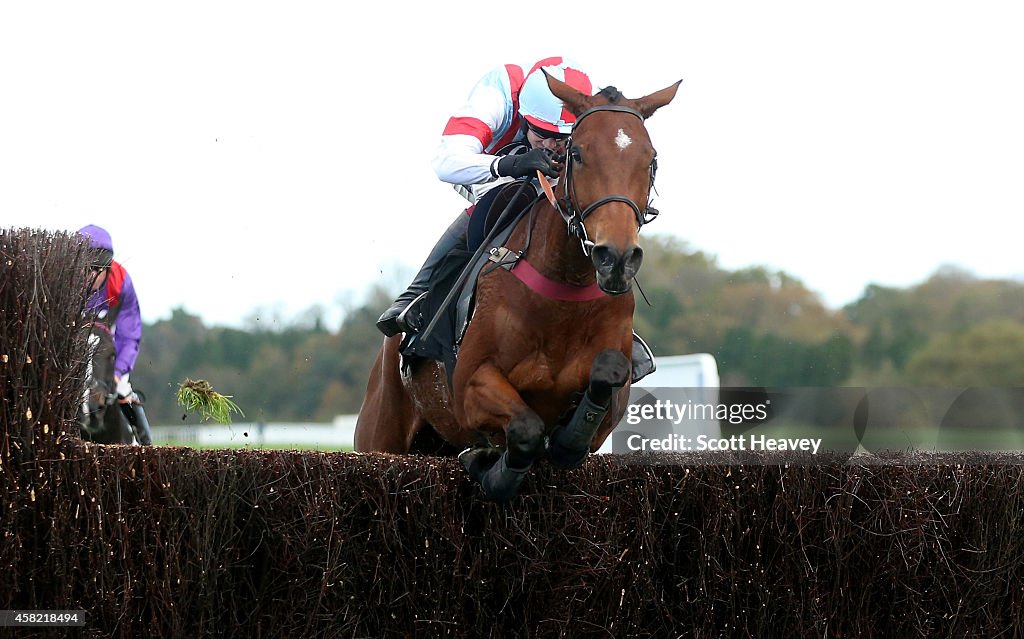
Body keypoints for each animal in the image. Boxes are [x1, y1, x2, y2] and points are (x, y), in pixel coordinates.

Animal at [356, 69, 684, 499]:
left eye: (651, 159)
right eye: (578, 154)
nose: (615, 258)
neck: (564, 291)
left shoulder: (614, 393)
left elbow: (601, 385)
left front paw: (562, 440)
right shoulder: (470, 385)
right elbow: (525, 430)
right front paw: (486, 463)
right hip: (381, 435)